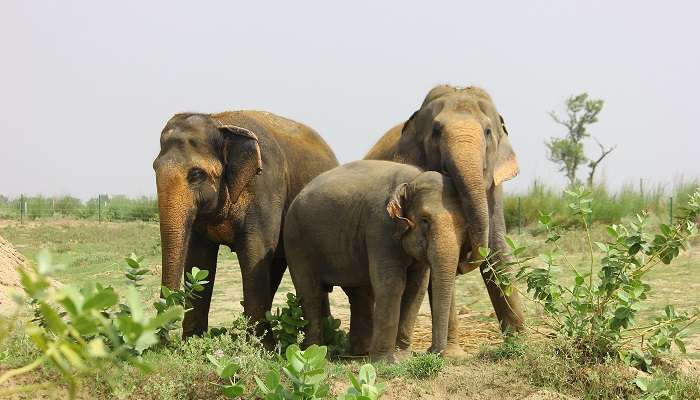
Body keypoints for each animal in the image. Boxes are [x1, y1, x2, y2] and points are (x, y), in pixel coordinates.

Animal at [153, 111, 340, 342]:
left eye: (196, 174)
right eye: (154, 168)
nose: (162, 342)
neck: (220, 123)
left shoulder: (265, 187)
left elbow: (255, 251)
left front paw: (260, 346)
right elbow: (199, 257)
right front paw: (192, 342)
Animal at [282, 159, 468, 362]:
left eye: (463, 224)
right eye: (425, 220)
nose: (435, 354)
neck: (412, 180)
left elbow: (416, 288)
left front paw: (401, 356)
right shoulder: (380, 226)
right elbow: (391, 284)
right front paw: (385, 361)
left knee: (358, 293)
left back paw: (360, 351)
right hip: (295, 242)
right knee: (311, 293)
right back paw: (313, 352)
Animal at [364, 85, 524, 354]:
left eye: (488, 131)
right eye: (436, 131)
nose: (465, 260)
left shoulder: (493, 188)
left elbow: (497, 249)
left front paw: (521, 343)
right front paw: (451, 355)